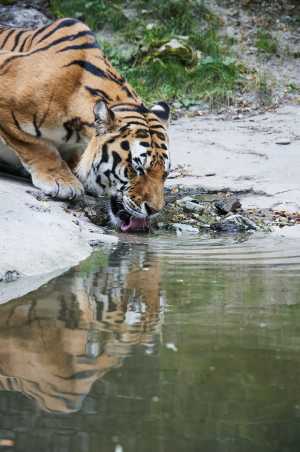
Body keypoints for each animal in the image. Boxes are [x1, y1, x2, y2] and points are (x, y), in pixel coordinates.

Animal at [0, 17, 170, 231]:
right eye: (136, 169)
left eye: (165, 174)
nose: (154, 210)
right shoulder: (6, 106)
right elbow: (37, 146)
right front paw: (63, 182)